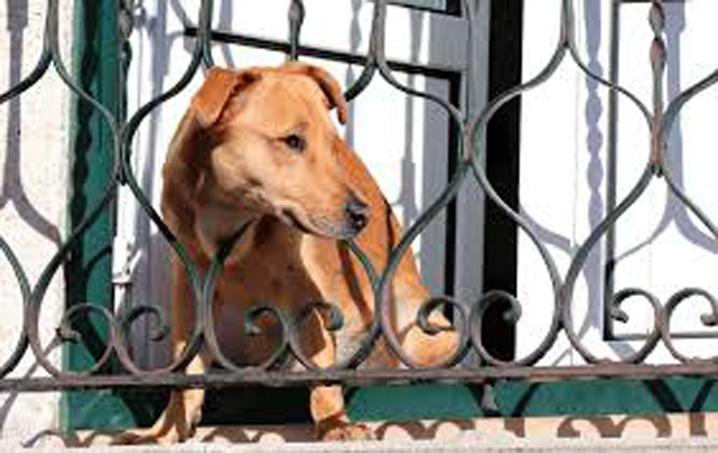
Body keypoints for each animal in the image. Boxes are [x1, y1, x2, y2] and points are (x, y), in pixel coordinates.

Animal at [121, 62, 458, 442]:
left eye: (333, 146)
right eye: (292, 141)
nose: (363, 215)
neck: (229, 214)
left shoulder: (305, 293)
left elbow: (321, 370)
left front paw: (335, 424)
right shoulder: (189, 287)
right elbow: (186, 368)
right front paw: (165, 430)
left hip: (421, 334)